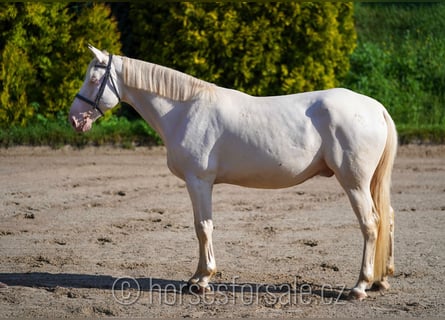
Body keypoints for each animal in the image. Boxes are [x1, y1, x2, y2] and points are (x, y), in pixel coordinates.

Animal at [69, 45, 396, 300]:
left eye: (94, 78)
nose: (74, 119)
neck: (184, 110)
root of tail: (376, 108)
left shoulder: (199, 181)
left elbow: (203, 227)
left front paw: (202, 280)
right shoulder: (201, 183)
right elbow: (201, 226)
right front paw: (195, 278)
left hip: (354, 182)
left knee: (370, 224)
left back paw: (360, 286)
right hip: (369, 183)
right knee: (388, 218)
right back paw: (381, 280)